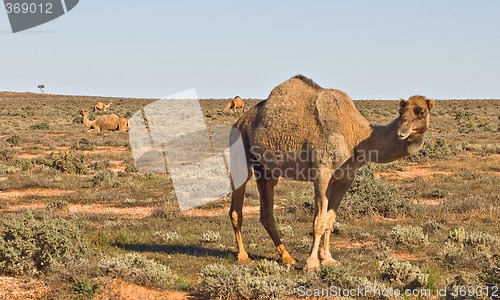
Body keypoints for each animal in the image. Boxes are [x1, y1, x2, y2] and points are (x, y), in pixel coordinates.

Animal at [228, 75, 434, 272]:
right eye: (401, 112)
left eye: (422, 112)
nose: (402, 130)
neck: (356, 135)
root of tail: (239, 122)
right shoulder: (323, 172)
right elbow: (318, 220)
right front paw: (312, 264)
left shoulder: (345, 177)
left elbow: (330, 219)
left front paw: (327, 259)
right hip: (241, 151)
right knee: (236, 209)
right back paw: (243, 256)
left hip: (268, 170)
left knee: (266, 213)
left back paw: (287, 257)